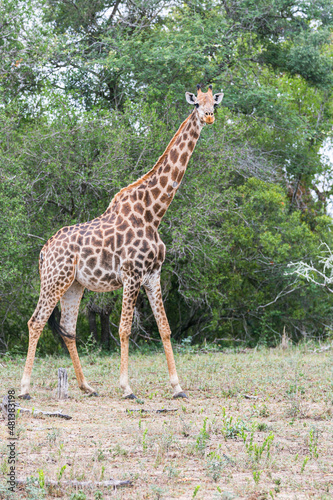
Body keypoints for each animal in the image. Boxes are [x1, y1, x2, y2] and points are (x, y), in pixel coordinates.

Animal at [19, 85, 224, 398]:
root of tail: (44, 251)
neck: (153, 213)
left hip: (74, 284)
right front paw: (127, 387)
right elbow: (125, 329)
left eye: (214, 102)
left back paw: (87, 386)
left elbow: (165, 329)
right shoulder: (131, 274)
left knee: (68, 328)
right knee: (37, 321)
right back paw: (25, 388)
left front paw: (177, 387)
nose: (209, 117)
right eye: (196, 104)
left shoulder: (153, 275)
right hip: (55, 279)